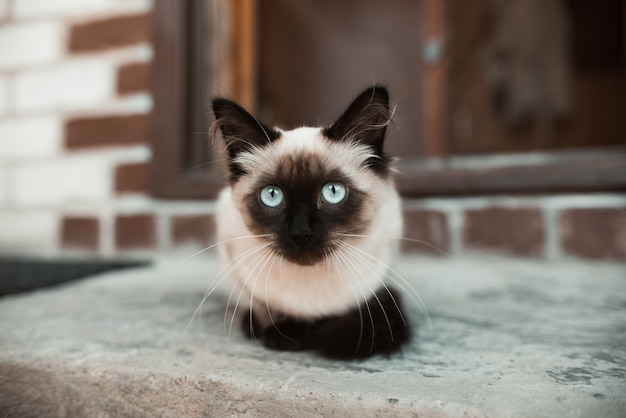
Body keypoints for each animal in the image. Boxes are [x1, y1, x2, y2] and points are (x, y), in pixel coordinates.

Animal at [211, 85, 410, 360]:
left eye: (333, 192)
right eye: (272, 196)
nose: (301, 233)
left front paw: (306, 334)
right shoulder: (234, 255)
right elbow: (263, 305)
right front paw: (283, 334)